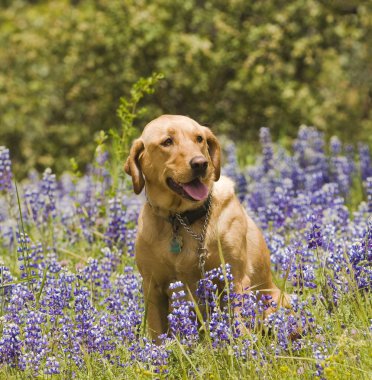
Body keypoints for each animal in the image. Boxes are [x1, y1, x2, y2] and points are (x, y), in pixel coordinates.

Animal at [125, 114, 288, 342]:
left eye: (199, 138)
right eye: (167, 141)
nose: (200, 163)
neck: (181, 220)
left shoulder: (234, 276)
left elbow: (238, 321)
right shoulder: (152, 286)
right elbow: (157, 335)